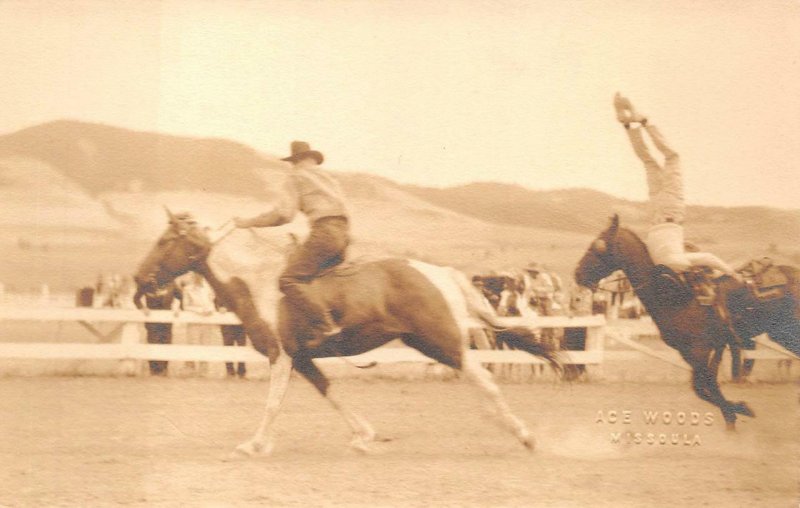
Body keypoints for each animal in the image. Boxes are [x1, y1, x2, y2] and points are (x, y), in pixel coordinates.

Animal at [136, 210, 564, 456]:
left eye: (164, 241)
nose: (141, 280)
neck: (259, 281)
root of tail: (440, 273)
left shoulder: (281, 355)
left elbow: (272, 404)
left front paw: (254, 444)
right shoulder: (302, 359)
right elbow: (332, 393)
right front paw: (364, 435)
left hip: (443, 343)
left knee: (486, 381)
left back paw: (525, 436)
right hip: (431, 343)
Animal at [580, 214, 796, 428]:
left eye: (596, 246)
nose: (577, 274)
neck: (672, 294)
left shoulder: (701, 349)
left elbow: (705, 385)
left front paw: (739, 411)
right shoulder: (691, 351)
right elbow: (703, 387)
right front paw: (735, 413)